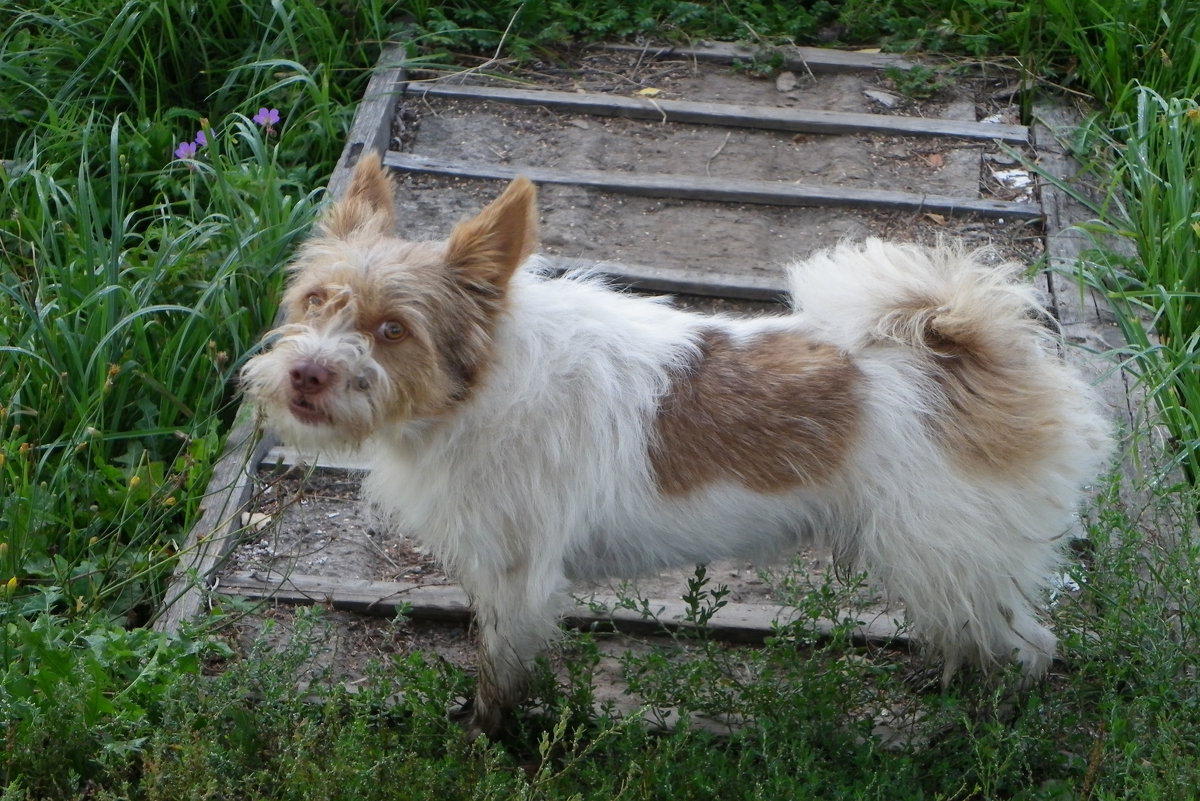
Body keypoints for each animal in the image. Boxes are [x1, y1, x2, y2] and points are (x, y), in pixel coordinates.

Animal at [238, 153, 1108, 733]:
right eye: (315, 299)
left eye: (395, 329)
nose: (306, 376)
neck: (481, 384)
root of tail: (970, 343)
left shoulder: (519, 581)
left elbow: (500, 676)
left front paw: (488, 738)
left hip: (946, 552)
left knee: (1032, 643)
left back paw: (988, 729)